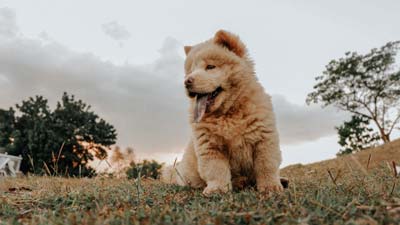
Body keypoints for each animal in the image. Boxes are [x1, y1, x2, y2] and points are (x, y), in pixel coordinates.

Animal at [161, 30, 282, 197]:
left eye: (210, 67)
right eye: (190, 71)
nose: (187, 81)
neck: (227, 113)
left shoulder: (264, 138)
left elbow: (266, 165)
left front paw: (271, 187)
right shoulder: (209, 145)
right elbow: (216, 170)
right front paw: (217, 189)